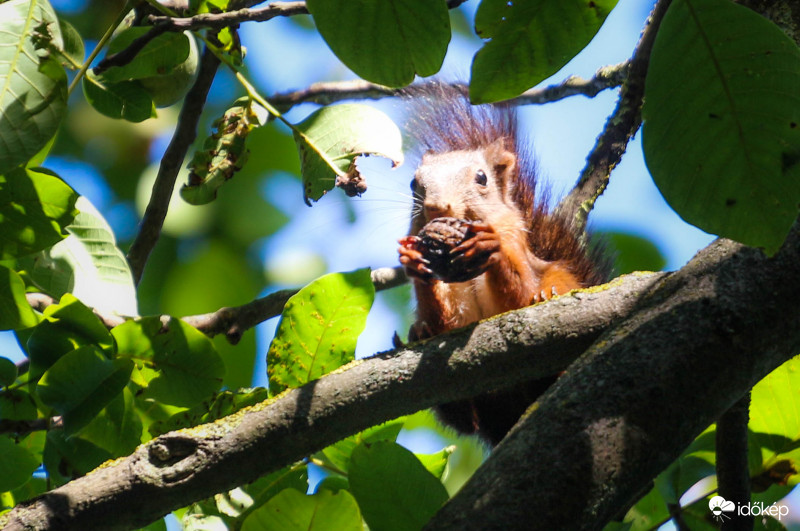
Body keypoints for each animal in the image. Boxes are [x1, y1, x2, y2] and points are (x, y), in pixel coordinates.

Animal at [396, 83, 608, 446]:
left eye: (481, 178)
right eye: (413, 184)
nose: (437, 207)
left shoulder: (516, 248)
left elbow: (517, 297)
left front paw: (489, 248)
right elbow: (443, 322)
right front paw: (414, 262)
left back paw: (548, 296)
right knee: (465, 420)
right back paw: (417, 334)